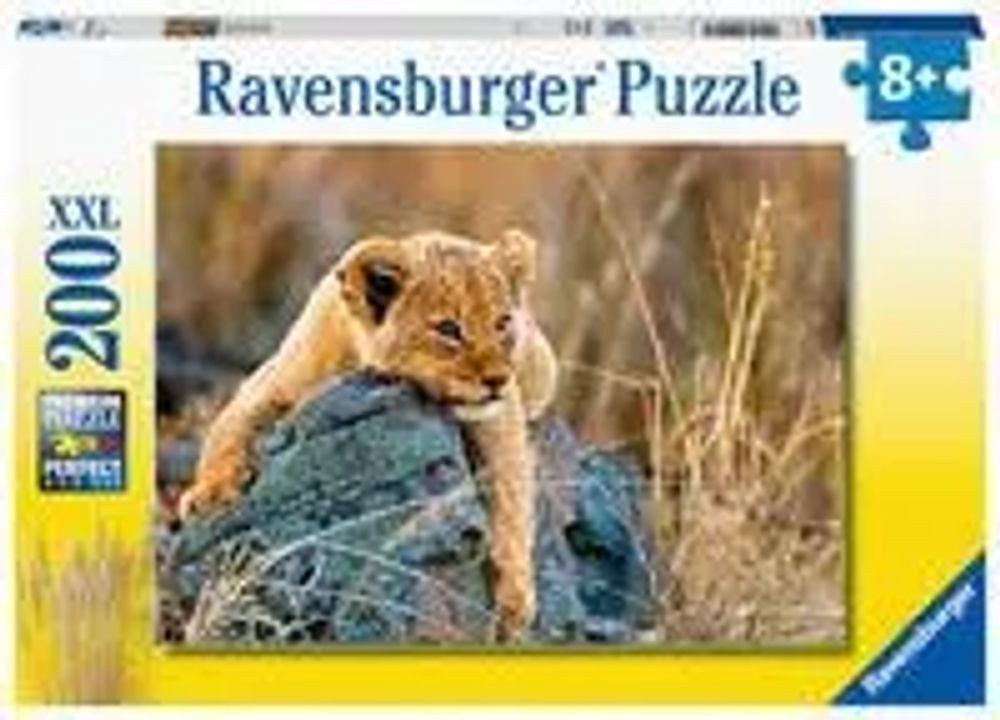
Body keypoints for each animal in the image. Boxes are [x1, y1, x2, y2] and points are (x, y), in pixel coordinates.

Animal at [177, 228, 558, 640]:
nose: (497, 380)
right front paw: (209, 494)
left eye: (502, 323)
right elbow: (227, 427)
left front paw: (516, 598)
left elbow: (511, 491)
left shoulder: (500, 418)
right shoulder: (273, 382)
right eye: (448, 329)